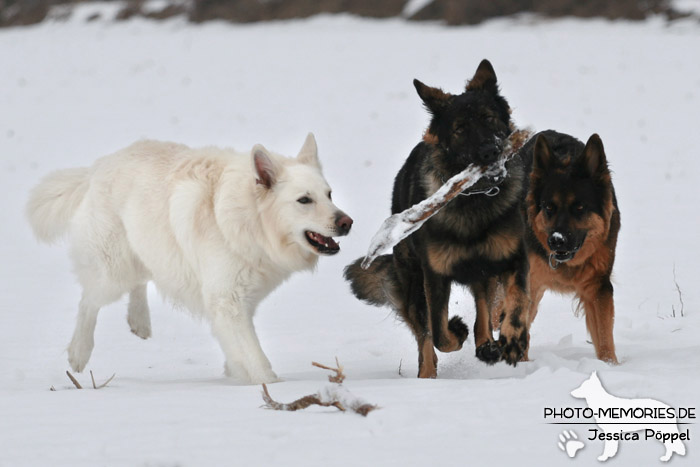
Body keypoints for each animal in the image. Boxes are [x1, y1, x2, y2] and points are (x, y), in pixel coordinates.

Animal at [27, 133, 352, 384]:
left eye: (329, 194)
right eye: (304, 200)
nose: (347, 222)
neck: (248, 221)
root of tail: (98, 167)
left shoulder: (235, 303)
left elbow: (236, 348)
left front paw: (237, 374)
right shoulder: (228, 301)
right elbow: (255, 356)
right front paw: (268, 385)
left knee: (138, 280)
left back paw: (139, 321)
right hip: (113, 271)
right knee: (89, 301)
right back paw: (79, 353)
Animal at [344, 60, 532, 378]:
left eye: (489, 118)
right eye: (460, 129)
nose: (490, 151)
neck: (475, 197)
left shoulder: (512, 260)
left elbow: (515, 303)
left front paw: (511, 340)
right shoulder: (435, 276)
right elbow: (440, 334)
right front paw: (457, 330)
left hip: (481, 272)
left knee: (483, 307)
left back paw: (487, 346)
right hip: (413, 284)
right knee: (425, 338)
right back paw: (428, 376)